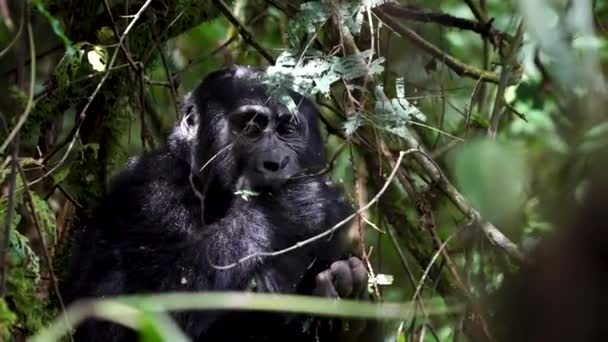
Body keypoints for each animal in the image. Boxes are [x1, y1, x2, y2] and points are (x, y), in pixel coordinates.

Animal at [60, 65, 376, 340]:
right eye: (251, 127)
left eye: (287, 130)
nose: (275, 162)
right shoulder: (147, 191)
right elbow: (118, 312)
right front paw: (290, 208)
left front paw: (351, 301)